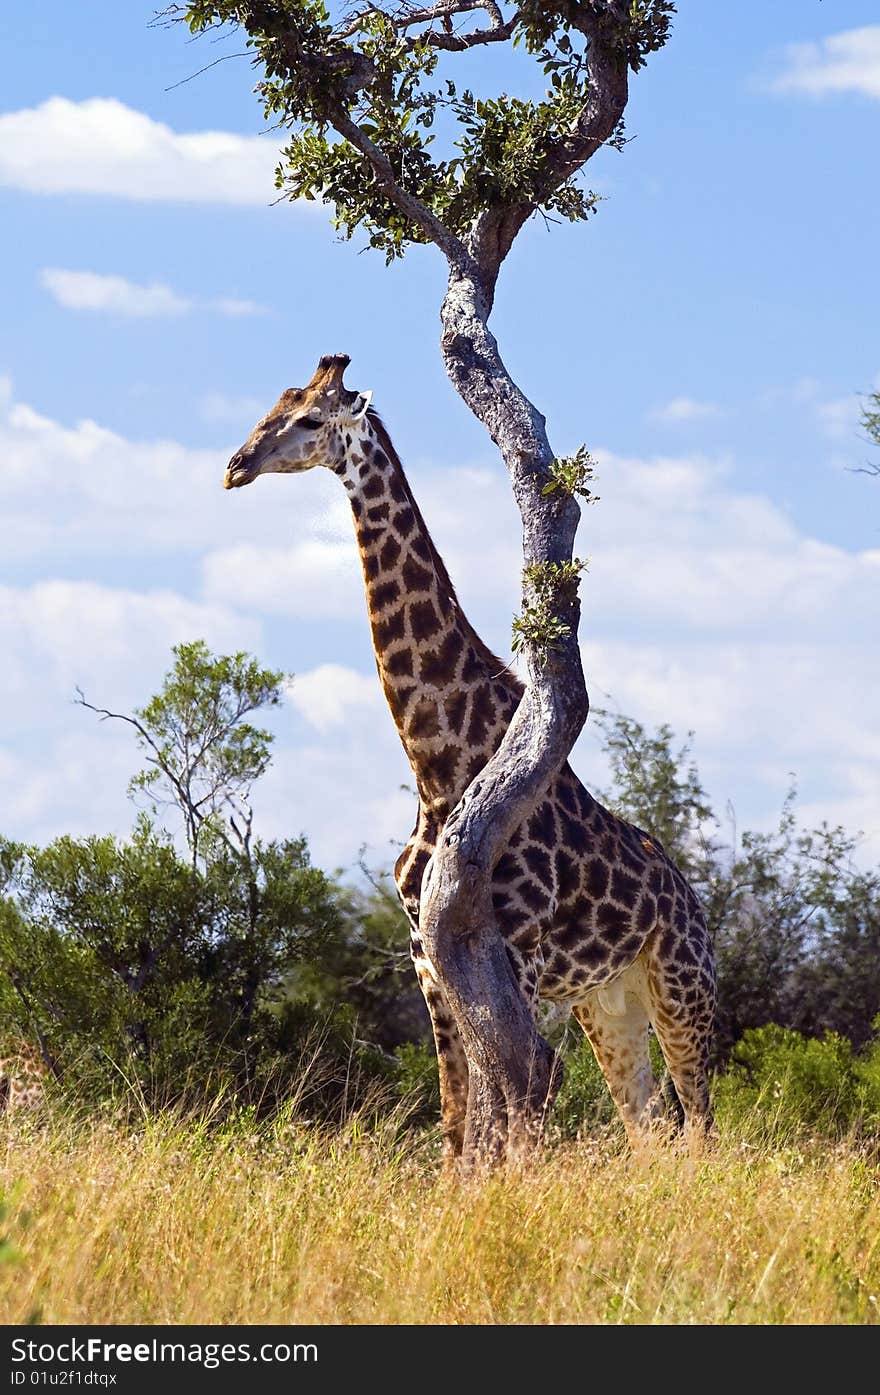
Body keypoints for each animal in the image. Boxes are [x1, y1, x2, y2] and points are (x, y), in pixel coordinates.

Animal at [225, 357, 714, 1155]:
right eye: (272, 405)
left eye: (308, 419)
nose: (236, 465)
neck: (436, 766)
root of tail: (694, 899)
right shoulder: (429, 956)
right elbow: (456, 1118)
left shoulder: (514, 953)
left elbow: (518, 1097)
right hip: (609, 1002)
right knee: (647, 1125)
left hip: (682, 984)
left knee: (699, 1121)